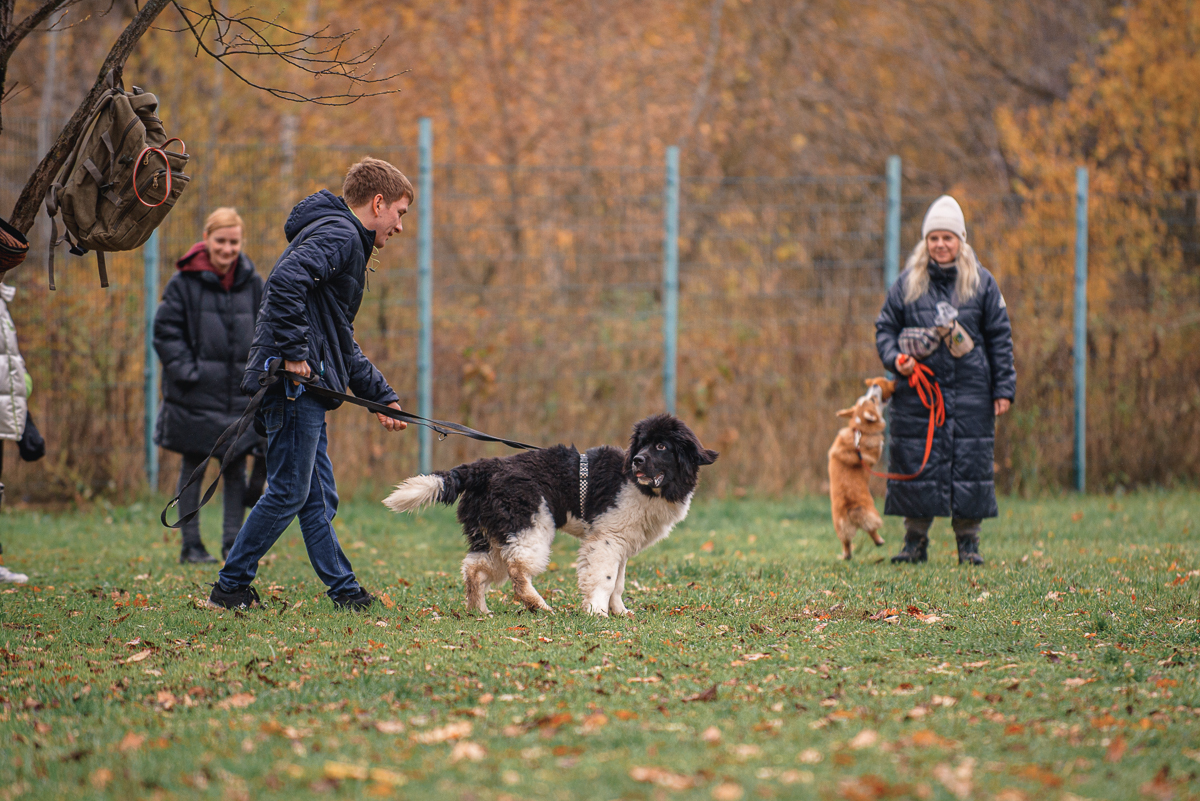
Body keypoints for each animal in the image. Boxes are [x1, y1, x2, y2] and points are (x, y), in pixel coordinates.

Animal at [384, 417, 715, 618]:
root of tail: (484, 467)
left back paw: (480, 611)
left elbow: (618, 583)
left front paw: (620, 612)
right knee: (518, 571)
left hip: (493, 533)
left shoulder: (621, 543)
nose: (637, 460)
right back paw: (539, 605)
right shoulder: (606, 539)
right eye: (643, 444)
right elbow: (605, 579)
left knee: (474, 570)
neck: (637, 485)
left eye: (660, 446)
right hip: (531, 525)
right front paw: (597, 612)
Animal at [830, 378, 897, 561]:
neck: (858, 430)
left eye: (866, 398)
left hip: (840, 526)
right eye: (873, 400)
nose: (874, 385)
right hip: (872, 513)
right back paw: (879, 541)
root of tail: (851, 507)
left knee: (846, 542)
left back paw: (846, 556)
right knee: (872, 529)